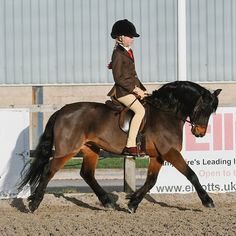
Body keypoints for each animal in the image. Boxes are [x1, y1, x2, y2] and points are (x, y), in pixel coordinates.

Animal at [18, 80, 221, 212]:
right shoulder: (170, 152)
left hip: (91, 149)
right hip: (66, 150)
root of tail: (61, 110)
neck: (165, 113)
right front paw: (208, 201)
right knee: (49, 172)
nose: (200, 133)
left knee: (87, 174)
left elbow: (151, 181)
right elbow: (191, 174)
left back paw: (107, 202)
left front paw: (133, 203)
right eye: (202, 109)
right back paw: (34, 204)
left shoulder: (158, 156)